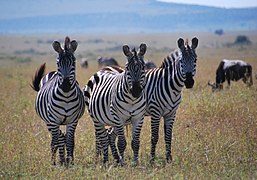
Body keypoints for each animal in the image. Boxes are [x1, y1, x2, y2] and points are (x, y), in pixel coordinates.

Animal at [31, 36, 84, 166]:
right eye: (58, 63)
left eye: (74, 63)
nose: (65, 86)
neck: (66, 97)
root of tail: (52, 73)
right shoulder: (54, 120)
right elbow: (56, 142)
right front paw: (57, 163)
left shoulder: (72, 120)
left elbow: (70, 141)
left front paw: (70, 162)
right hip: (49, 121)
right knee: (57, 139)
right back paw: (57, 160)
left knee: (62, 137)